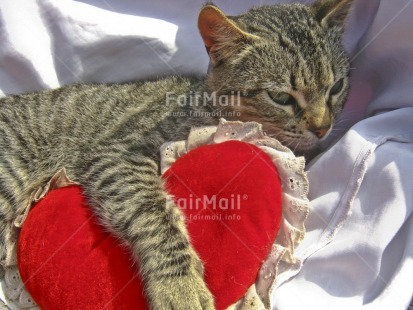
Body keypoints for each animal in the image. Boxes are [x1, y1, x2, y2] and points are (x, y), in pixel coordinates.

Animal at [0, 0, 350, 308]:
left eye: (337, 87)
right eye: (280, 97)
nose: (323, 127)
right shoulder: (116, 154)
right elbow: (153, 212)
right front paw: (179, 285)